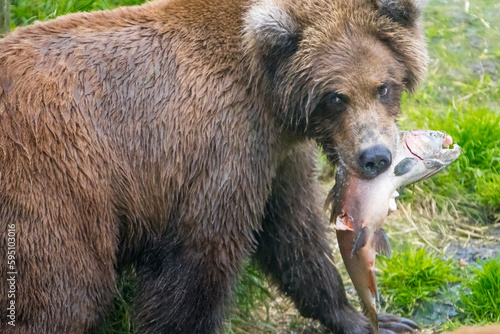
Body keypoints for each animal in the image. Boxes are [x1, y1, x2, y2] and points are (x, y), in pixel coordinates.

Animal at [0, 0, 426, 332]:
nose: (374, 157)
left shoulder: (276, 159)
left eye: (383, 86)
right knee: (67, 297)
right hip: (54, 185)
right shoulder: (218, 150)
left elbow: (294, 234)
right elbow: (199, 262)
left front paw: (369, 318)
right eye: (336, 97)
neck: (270, 102)